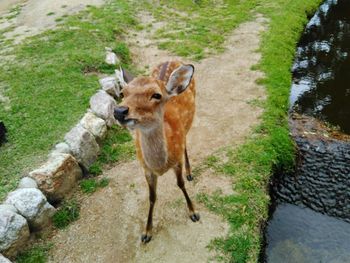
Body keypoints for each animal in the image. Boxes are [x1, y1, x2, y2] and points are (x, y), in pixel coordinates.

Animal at [114, 60, 200, 244]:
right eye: (122, 93)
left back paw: (190, 172)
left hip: (188, 123)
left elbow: (180, 184)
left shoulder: (177, 160)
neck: (161, 165)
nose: (119, 111)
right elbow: (152, 197)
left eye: (156, 95)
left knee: (186, 144)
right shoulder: (146, 169)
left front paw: (194, 212)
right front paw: (147, 232)